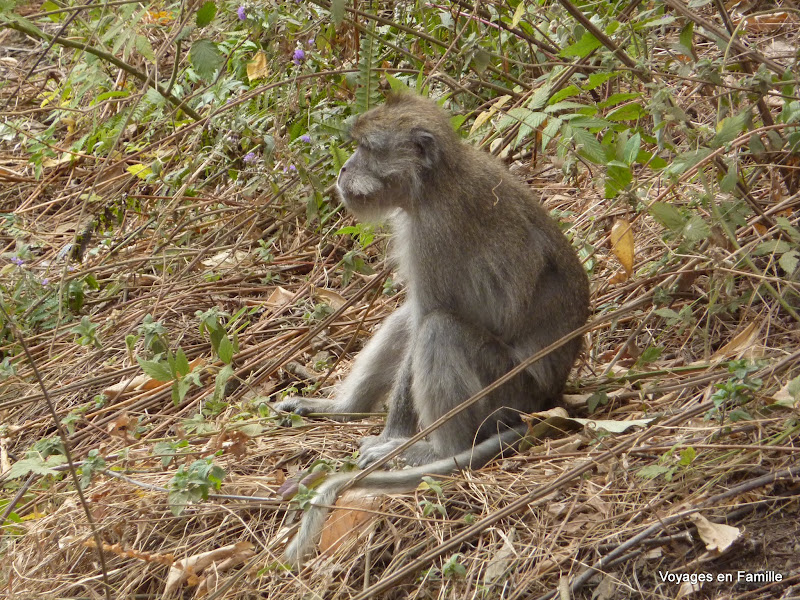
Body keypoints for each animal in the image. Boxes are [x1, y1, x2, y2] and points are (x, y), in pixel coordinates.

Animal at [278, 94, 592, 568]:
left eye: (367, 149)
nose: (344, 168)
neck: (434, 183)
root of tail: (550, 398)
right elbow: (412, 315)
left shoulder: (432, 234)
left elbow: (429, 313)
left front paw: (392, 441)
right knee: (410, 320)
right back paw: (343, 411)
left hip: (507, 393)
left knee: (438, 328)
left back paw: (438, 451)